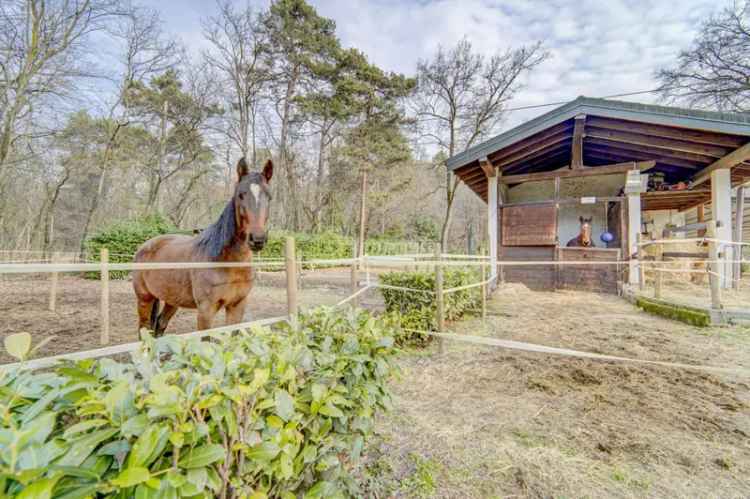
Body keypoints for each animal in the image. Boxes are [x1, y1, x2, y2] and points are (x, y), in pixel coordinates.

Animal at [133, 157, 274, 336]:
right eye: (241, 195)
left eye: (269, 197)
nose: (257, 239)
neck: (227, 262)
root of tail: (145, 246)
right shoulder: (206, 311)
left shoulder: (237, 306)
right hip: (144, 298)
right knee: (144, 330)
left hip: (172, 300)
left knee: (160, 324)